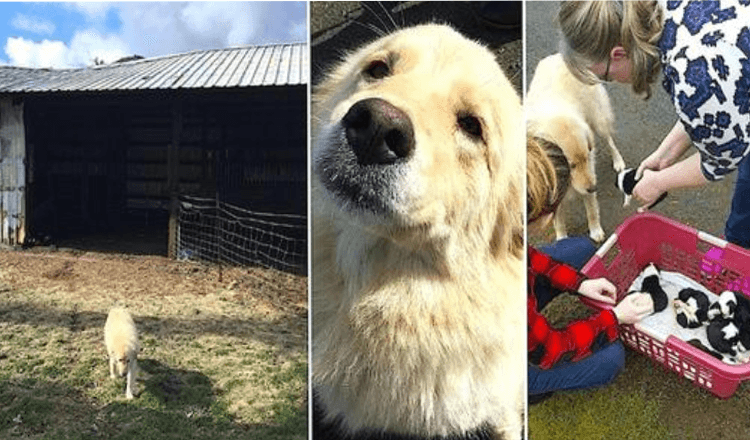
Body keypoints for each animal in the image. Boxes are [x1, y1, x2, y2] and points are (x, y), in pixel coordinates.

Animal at [528, 53, 628, 242]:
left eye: (587, 158)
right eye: (571, 165)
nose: (593, 188)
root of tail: (559, 56)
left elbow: (591, 211)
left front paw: (595, 231)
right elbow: (559, 221)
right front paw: (562, 240)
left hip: (598, 120)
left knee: (610, 140)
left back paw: (618, 161)